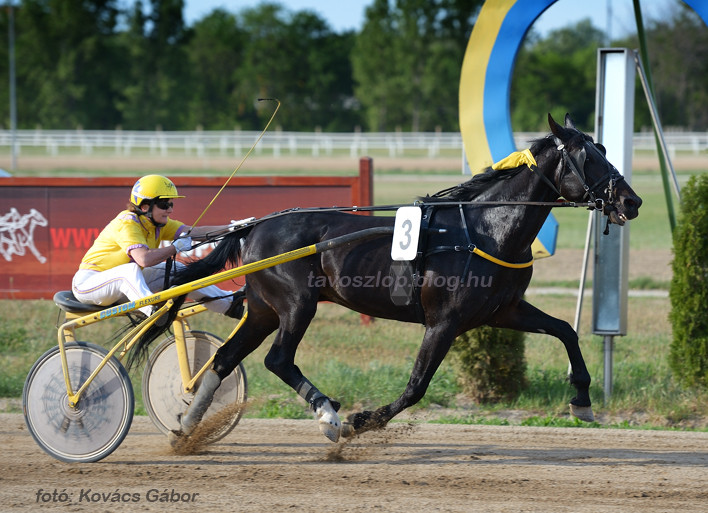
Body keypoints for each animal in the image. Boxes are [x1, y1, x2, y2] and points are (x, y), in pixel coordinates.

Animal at [133, 114, 640, 442]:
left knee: (224, 359)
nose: (631, 201)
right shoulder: (445, 322)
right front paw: (362, 421)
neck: (483, 230)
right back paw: (329, 416)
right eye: (588, 157)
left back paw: (186, 428)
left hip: (262, 309)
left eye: (604, 150)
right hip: (296, 304)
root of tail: (254, 226)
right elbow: (416, 386)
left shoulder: (504, 310)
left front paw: (582, 398)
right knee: (278, 359)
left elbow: (566, 330)